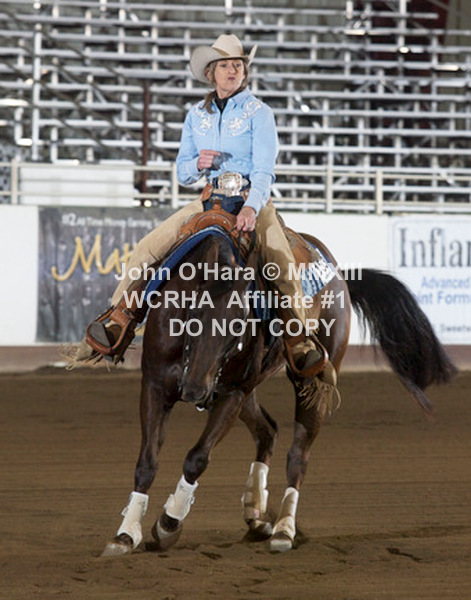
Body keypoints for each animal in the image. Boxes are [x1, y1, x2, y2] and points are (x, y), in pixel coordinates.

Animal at [102, 224, 457, 556]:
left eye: (238, 324)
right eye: (194, 313)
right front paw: (125, 534)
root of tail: (340, 277)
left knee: (298, 456)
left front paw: (168, 523)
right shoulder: (155, 386)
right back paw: (255, 513)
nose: (194, 390)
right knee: (268, 430)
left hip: (308, 383)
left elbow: (197, 458)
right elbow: (147, 462)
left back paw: (284, 529)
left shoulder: (231, 394)